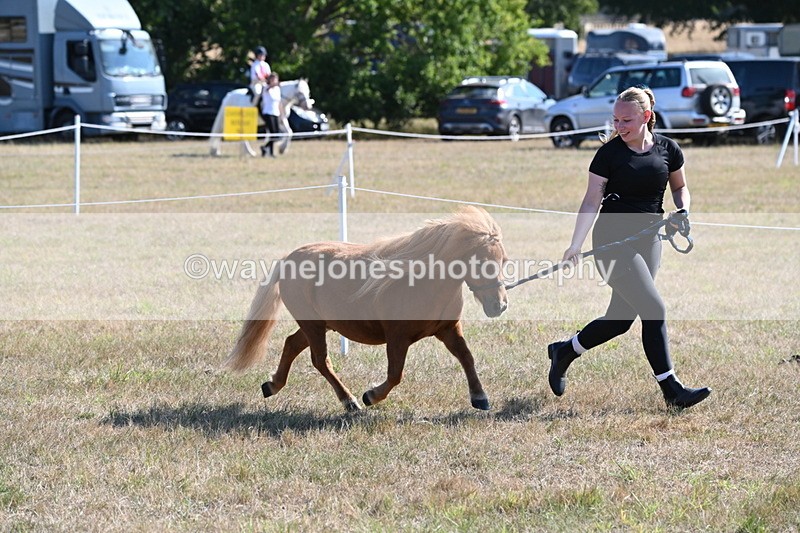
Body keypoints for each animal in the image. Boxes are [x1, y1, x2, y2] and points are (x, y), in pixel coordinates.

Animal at [225, 206, 509, 413]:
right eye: (481, 262)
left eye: (503, 260)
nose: (500, 305)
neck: (423, 283)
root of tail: (287, 260)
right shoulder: (397, 338)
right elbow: (395, 374)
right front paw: (370, 395)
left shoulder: (448, 330)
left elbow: (466, 357)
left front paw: (480, 397)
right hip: (313, 325)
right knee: (320, 360)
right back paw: (349, 401)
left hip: (318, 324)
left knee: (292, 344)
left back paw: (272, 385)